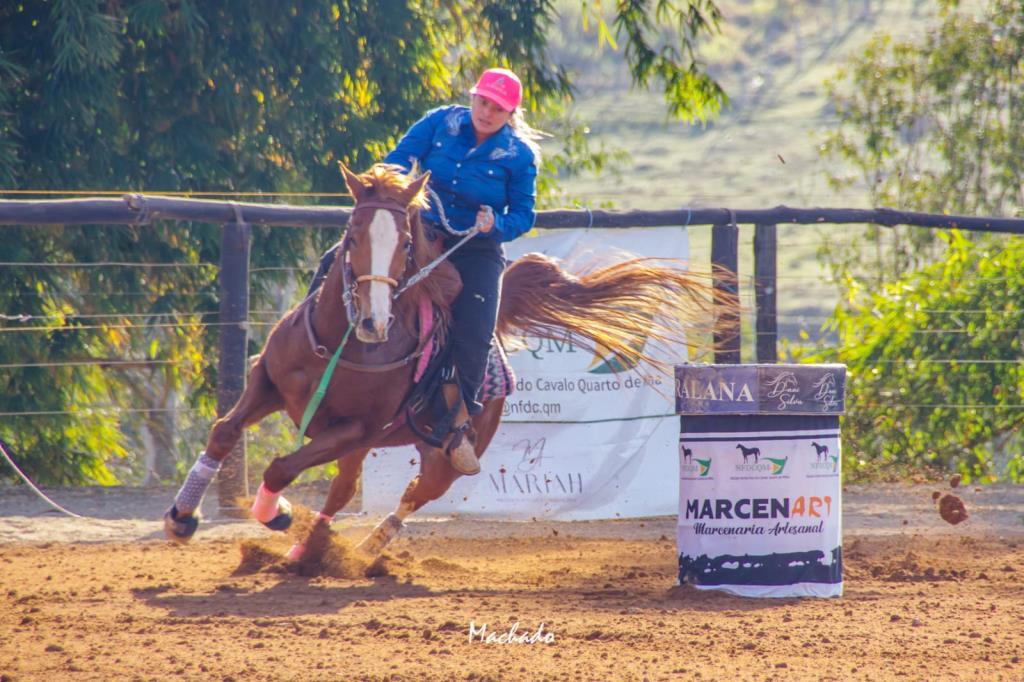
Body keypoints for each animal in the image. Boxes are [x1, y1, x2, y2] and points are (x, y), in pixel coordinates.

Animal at [163, 163, 732, 560]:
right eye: (352, 235)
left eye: (404, 244)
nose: (373, 321)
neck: (342, 344)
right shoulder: (268, 383)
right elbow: (224, 432)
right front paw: (181, 517)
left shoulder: (357, 427)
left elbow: (281, 466)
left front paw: (276, 515)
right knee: (345, 489)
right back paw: (311, 551)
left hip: (446, 449)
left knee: (416, 493)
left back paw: (357, 551)